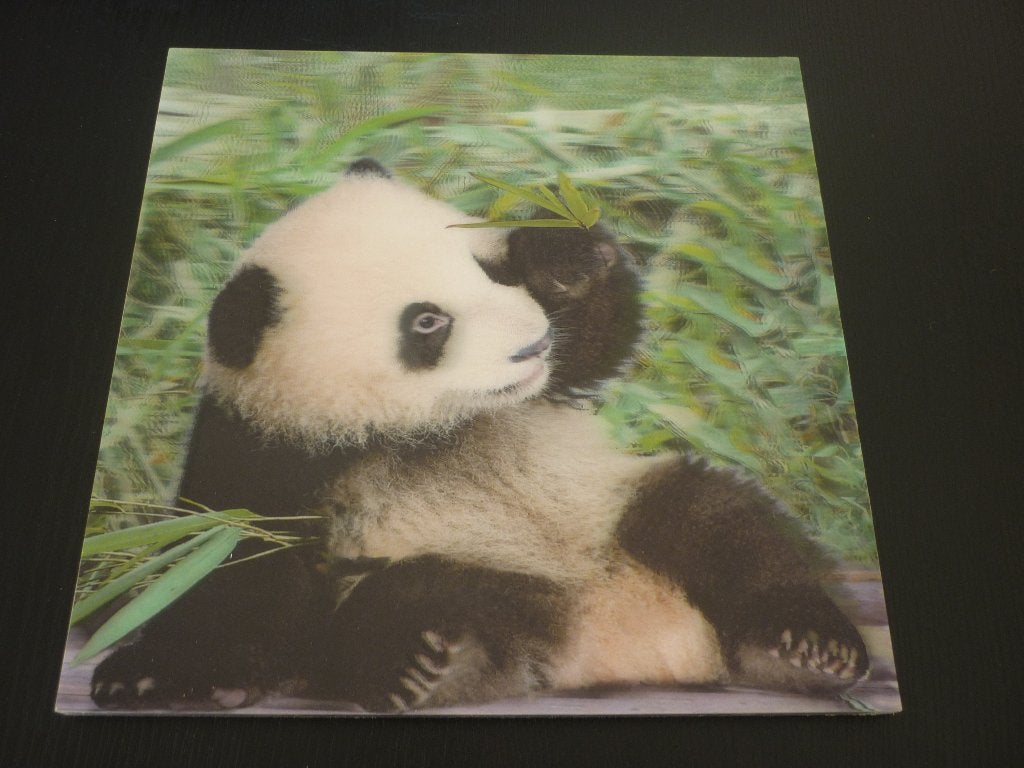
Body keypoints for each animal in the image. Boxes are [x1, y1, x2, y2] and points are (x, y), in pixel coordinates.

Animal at [90, 158, 869, 712]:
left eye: (485, 270)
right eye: (427, 322)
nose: (530, 345)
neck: (419, 430)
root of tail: (621, 637)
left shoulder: (541, 395)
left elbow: (595, 338)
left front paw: (564, 255)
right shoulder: (269, 450)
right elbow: (233, 569)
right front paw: (151, 675)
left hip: (614, 510)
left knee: (722, 524)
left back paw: (802, 648)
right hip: (479, 572)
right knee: (410, 603)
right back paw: (431, 667)